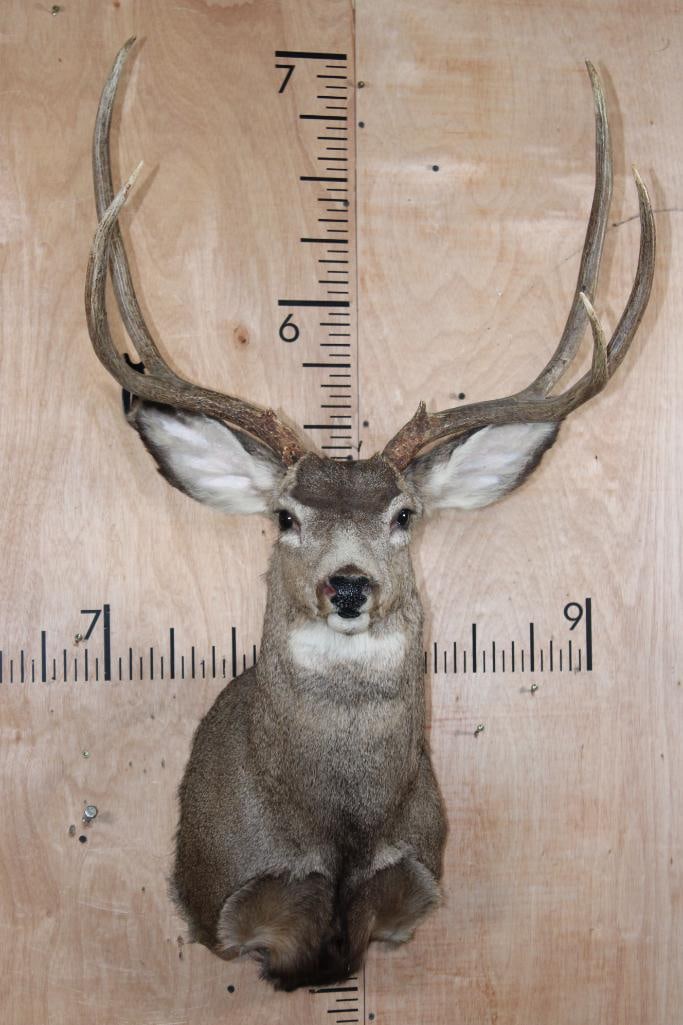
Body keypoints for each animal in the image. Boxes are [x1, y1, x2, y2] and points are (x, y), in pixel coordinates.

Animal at [86, 38, 655, 991]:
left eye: (403, 515)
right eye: (283, 515)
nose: (347, 586)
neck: (337, 833)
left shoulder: (413, 879)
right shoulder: (227, 896)